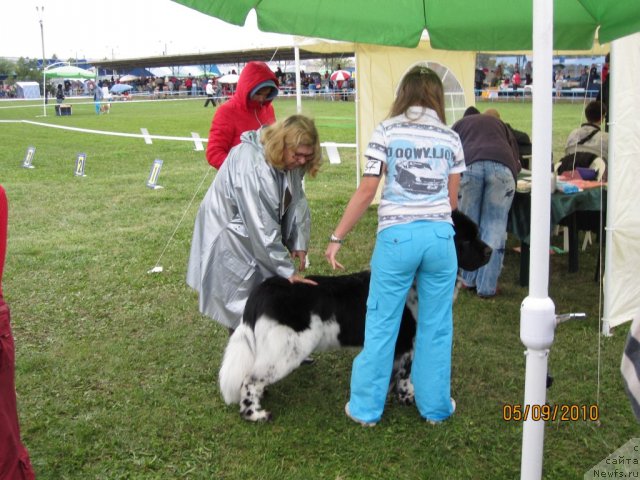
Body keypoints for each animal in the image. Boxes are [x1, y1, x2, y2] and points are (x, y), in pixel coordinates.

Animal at [219, 212, 490, 422]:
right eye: (466, 240)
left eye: (477, 234)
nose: (490, 250)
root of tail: (266, 288)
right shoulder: (407, 344)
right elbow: (406, 376)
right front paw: (408, 398)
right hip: (287, 349)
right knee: (250, 380)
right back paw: (255, 414)